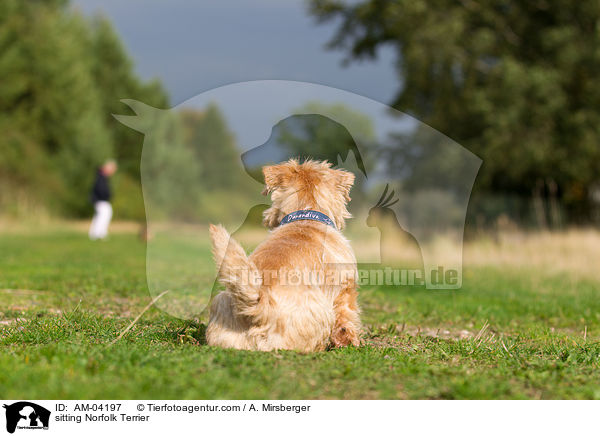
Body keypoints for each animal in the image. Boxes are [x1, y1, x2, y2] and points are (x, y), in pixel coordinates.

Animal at [206, 158, 360, 352]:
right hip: (319, 312)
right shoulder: (345, 288)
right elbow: (346, 317)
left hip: (221, 305)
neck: (306, 216)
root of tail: (259, 309)